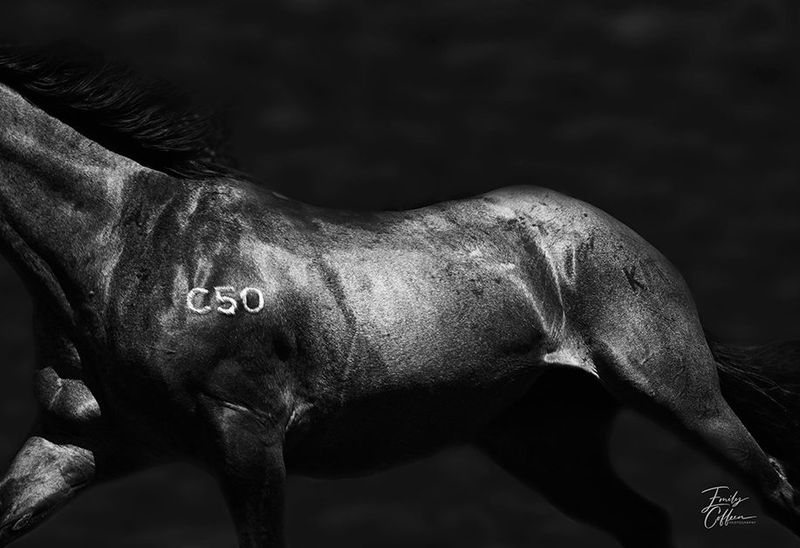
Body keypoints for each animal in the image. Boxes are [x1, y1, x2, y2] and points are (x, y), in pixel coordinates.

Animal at [0, 43, 799, 548]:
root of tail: (632, 242)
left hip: (677, 395)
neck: (126, 249)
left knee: (775, 487)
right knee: (644, 523)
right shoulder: (78, 440)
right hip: (542, 442)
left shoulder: (247, 437)